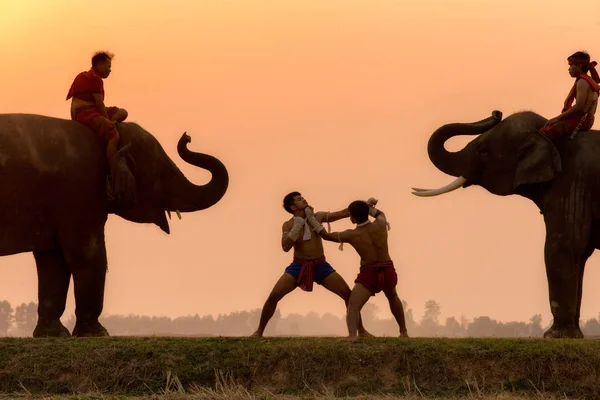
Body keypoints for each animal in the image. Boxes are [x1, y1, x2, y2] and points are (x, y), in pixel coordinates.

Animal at [0, 112, 229, 338]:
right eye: (163, 172)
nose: (187, 137)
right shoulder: (78, 196)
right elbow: (88, 255)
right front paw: (98, 334)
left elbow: (53, 262)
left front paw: (54, 334)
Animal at [412, 109, 600, 338]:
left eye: (483, 151)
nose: (496, 113)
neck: (548, 133)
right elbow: (580, 254)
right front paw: (574, 336)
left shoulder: (571, 186)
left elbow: (562, 245)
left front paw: (553, 336)